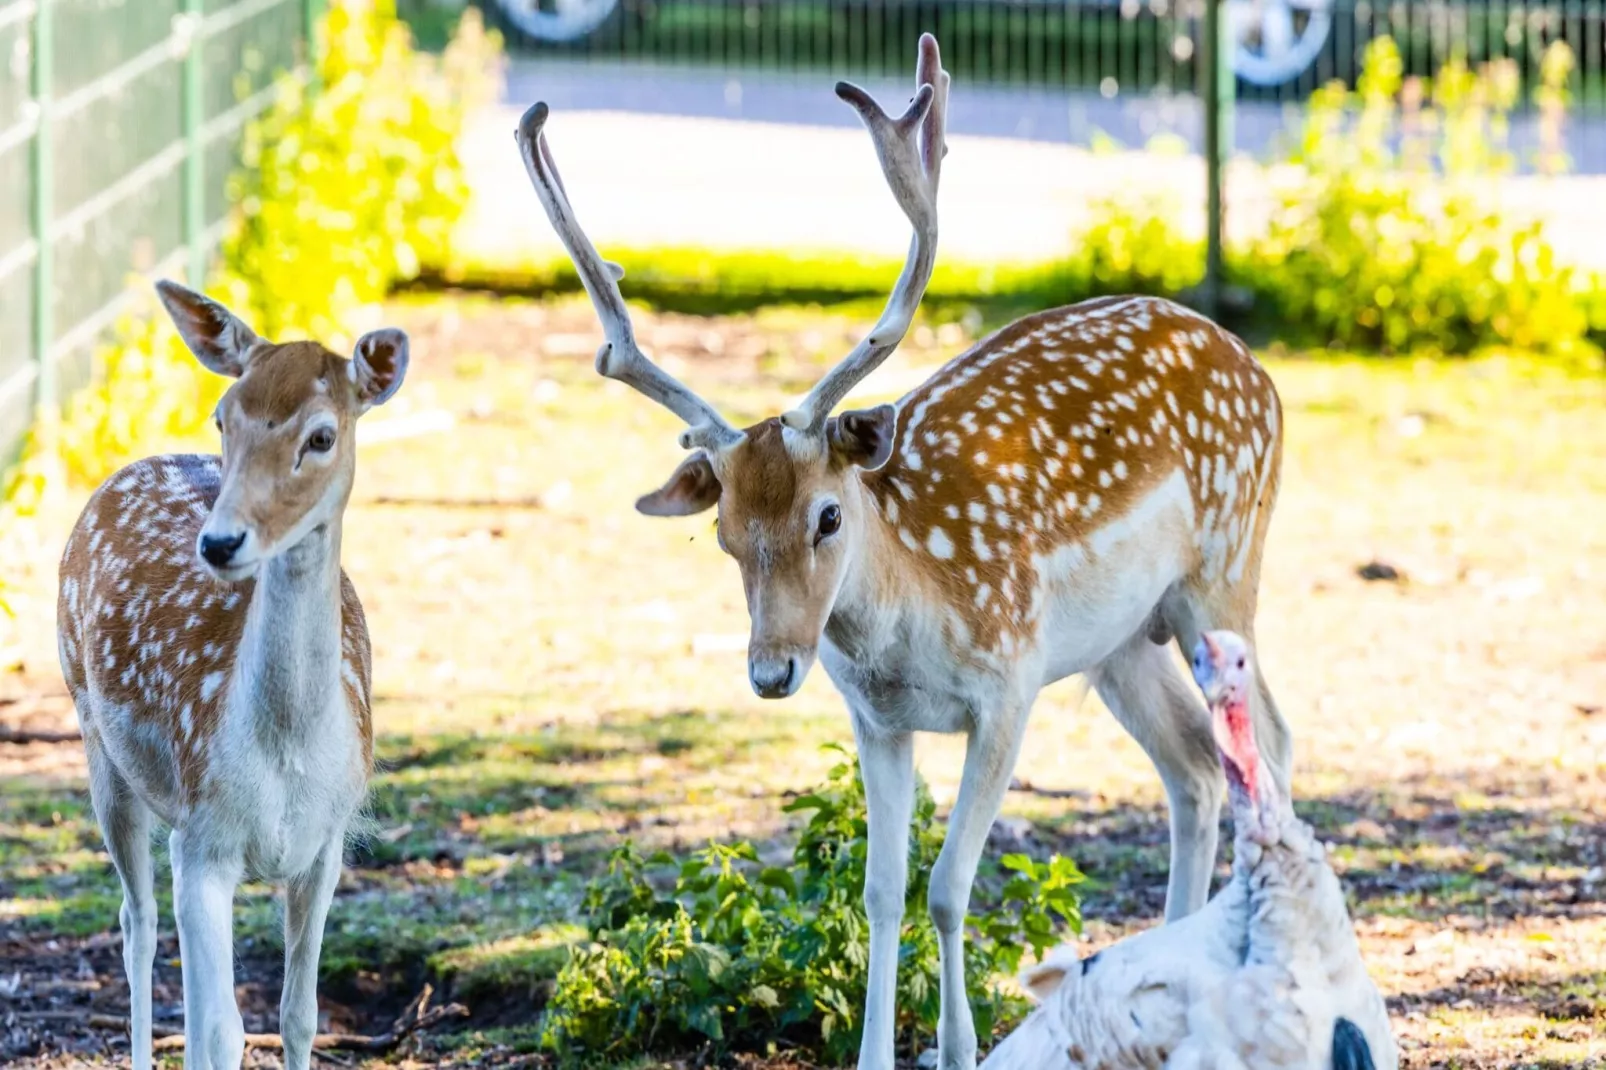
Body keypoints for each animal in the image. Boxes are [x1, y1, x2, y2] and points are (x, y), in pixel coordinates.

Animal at [58, 281, 407, 1066]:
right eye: (223, 416)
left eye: (321, 436)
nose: (219, 542)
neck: (287, 752)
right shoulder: (203, 838)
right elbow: (221, 1028)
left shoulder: (326, 844)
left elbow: (298, 1013)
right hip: (97, 740)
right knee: (136, 922)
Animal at [513, 35, 1291, 1066]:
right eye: (723, 534)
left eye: (827, 516)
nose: (771, 671)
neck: (911, 628)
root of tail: (1259, 370)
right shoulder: (876, 720)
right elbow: (882, 892)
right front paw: (884, 1051)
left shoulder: (1008, 685)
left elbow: (949, 887)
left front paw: (959, 1048)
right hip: (1123, 642)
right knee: (1196, 769)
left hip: (1225, 572)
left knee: (1270, 740)